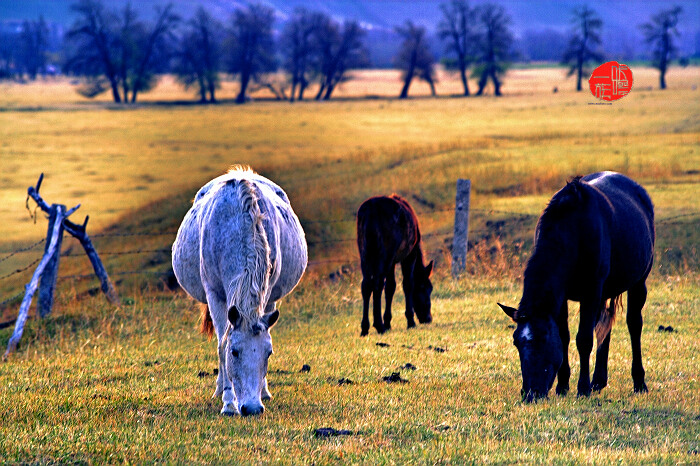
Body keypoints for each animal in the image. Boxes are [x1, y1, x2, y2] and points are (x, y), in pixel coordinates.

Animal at [172, 167, 306, 416]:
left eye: (268, 353)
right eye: (235, 352)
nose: (252, 408)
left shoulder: (267, 290)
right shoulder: (215, 295)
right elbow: (222, 343)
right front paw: (228, 402)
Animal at [356, 195, 432, 336]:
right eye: (427, 288)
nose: (428, 318)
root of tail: (370, 212)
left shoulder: (392, 262)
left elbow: (390, 287)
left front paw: (388, 321)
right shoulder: (409, 255)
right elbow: (407, 284)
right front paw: (410, 321)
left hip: (364, 253)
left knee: (366, 285)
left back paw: (365, 327)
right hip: (385, 253)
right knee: (378, 284)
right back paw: (378, 325)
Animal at [498, 173, 656, 402]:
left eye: (543, 339)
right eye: (516, 343)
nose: (530, 393)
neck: (573, 229)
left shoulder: (591, 292)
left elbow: (583, 339)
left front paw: (582, 388)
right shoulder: (562, 297)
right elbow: (565, 336)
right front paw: (563, 386)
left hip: (638, 284)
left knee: (634, 325)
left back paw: (638, 382)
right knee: (604, 326)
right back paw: (598, 381)